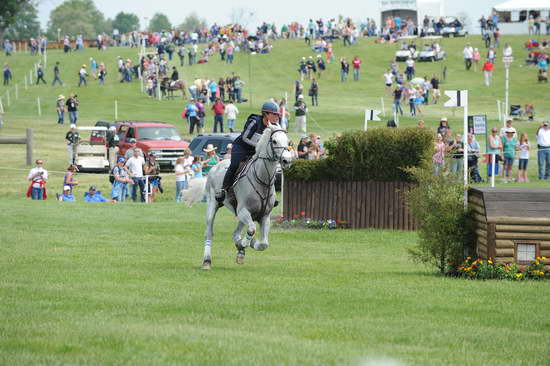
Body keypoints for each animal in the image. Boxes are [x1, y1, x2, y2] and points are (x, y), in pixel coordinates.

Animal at [197, 124, 296, 270]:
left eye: (288, 141)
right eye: (274, 141)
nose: (286, 160)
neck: (262, 179)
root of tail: (216, 166)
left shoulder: (264, 216)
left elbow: (263, 243)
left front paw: (245, 245)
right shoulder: (244, 211)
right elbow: (251, 230)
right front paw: (244, 243)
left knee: (236, 232)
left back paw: (240, 250)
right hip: (213, 203)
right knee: (209, 232)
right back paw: (207, 262)